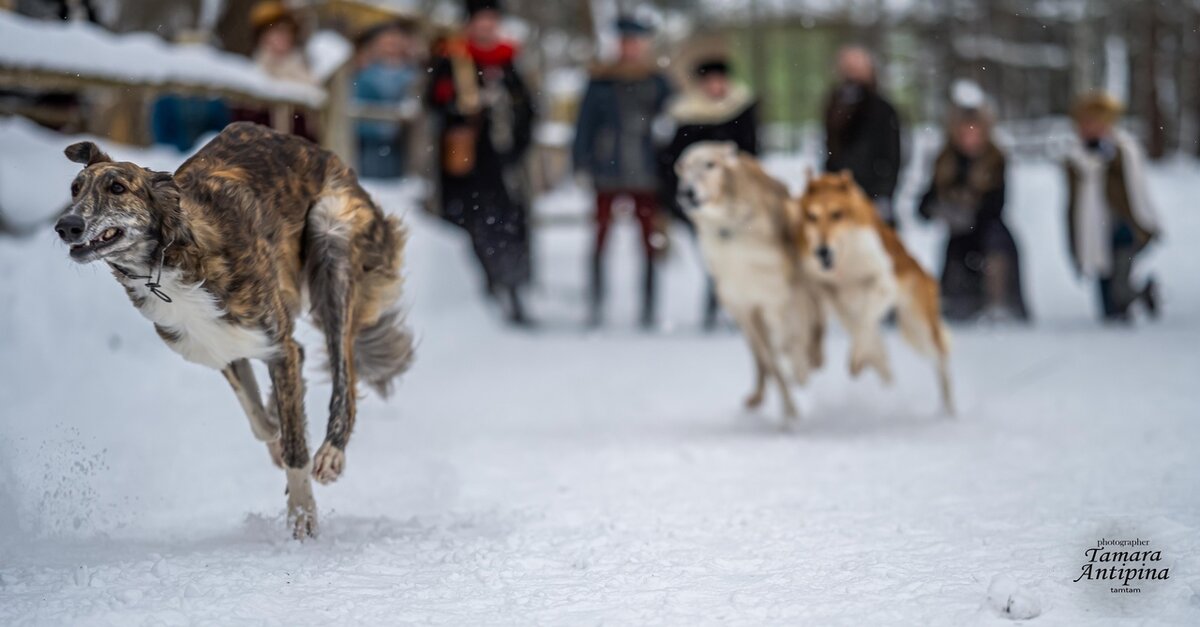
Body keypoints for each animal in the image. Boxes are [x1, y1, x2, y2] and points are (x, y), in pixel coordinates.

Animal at [58, 121, 415, 535]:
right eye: (75, 188)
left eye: (117, 188)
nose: (65, 226)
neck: (172, 255)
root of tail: (320, 151)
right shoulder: (218, 344)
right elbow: (262, 421)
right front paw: (277, 434)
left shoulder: (276, 344)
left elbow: (295, 447)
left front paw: (302, 515)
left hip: (332, 239)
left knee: (345, 368)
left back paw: (331, 453)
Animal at [676, 142, 825, 420]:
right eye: (683, 168)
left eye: (710, 164)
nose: (686, 193)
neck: (730, 231)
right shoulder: (748, 308)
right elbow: (774, 363)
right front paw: (789, 411)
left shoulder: (786, 295)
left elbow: (795, 341)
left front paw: (800, 371)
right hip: (744, 319)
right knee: (763, 359)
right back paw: (760, 395)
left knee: (810, 335)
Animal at [792, 170, 950, 415]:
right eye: (812, 216)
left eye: (837, 214)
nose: (822, 251)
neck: (843, 261)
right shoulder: (822, 290)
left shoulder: (884, 283)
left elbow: (864, 324)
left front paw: (856, 360)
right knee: (882, 358)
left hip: (917, 326)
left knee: (940, 359)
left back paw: (949, 410)